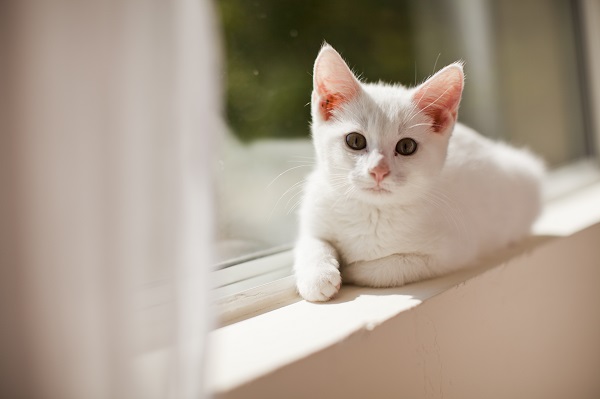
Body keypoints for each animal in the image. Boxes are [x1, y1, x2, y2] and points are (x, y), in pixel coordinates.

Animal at [292, 43, 548, 302]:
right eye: (355, 140)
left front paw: (352, 269)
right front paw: (317, 275)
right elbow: (311, 243)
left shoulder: (453, 252)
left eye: (406, 146)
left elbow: (388, 267)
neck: (372, 211)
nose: (378, 171)